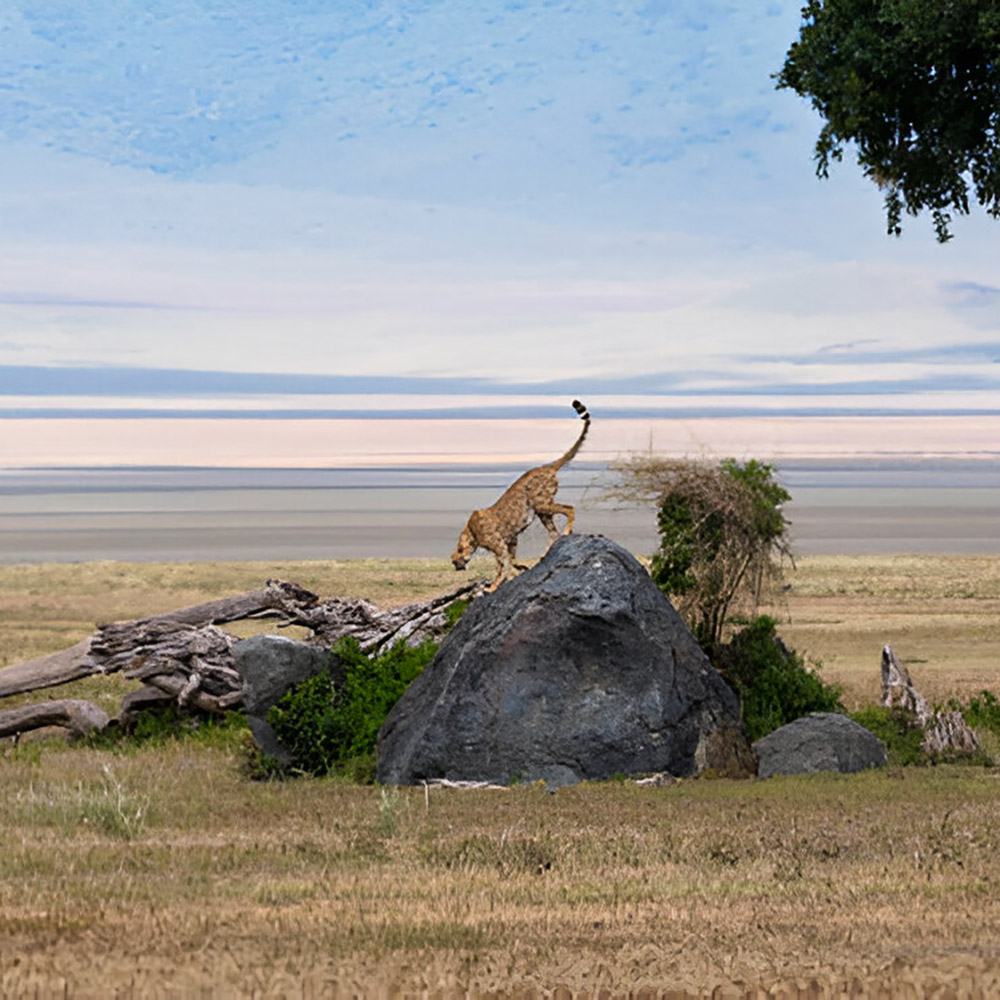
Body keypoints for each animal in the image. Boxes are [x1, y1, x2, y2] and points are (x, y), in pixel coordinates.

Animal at [452, 398, 588, 588]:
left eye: (453, 561)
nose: (456, 567)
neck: (471, 534)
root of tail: (546, 467)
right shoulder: (511, 540)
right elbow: (512, 560)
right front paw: (521, 568)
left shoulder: (500, 546)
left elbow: (502, 566)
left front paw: (494, 586)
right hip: (541, 511)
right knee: (554, 533)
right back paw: (546, 553)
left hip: (541, 504)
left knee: (569, 509)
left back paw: (567, 531)